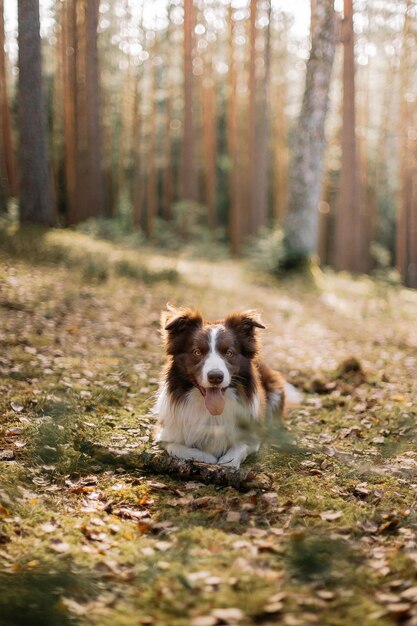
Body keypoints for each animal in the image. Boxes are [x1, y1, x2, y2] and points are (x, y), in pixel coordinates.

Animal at [152, 304, 292, 466]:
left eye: (229, 353)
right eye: (197, 352)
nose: (215, 377)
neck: (211, 413)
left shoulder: (253, 434)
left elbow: (241, 445)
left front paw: (228, 461)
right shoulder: (164, 433)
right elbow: (176, 447)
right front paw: (206, 457)